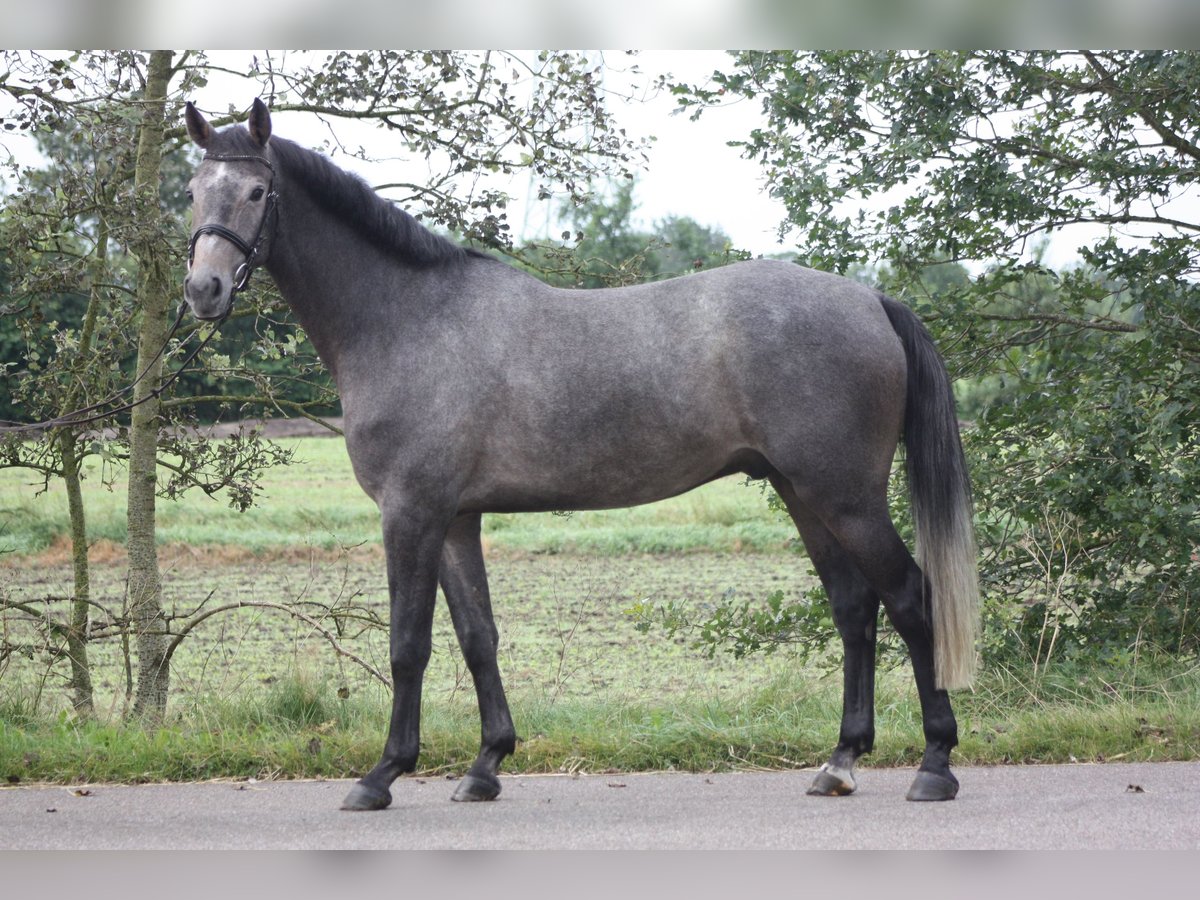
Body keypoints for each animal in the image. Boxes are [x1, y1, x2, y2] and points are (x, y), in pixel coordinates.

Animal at [182, 98, 979, 811]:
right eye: (193, 192)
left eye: (257, 191)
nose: (203, 289)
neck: (407, 320)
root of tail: (872, 300)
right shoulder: (456, 518)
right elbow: (478, 636)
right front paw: (486, 766)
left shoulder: (411, 513)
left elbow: (409, 645)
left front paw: (381, 776)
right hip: (802, 491)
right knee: (854, 609)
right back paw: (840, 761)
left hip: (845, 496)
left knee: (910, 598)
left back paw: (935, 764)